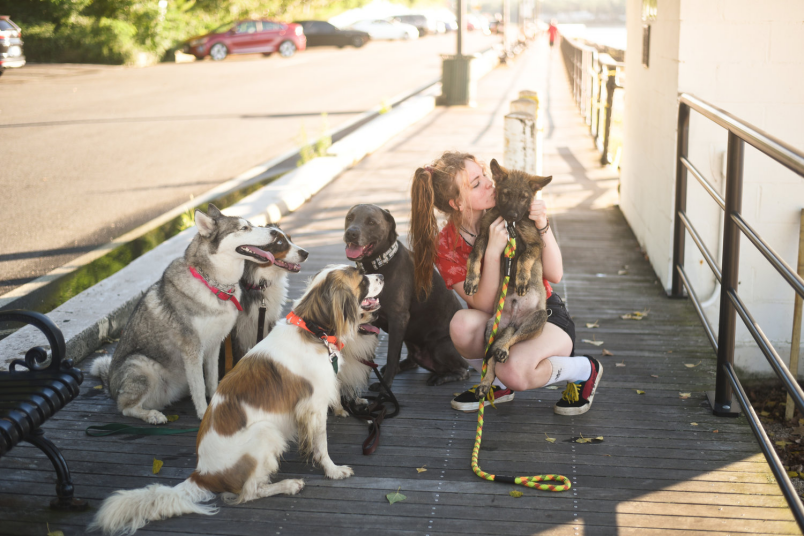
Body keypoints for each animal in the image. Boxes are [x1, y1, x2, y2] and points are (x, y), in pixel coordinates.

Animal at [90, 205, 278, 424]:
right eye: (243, 228)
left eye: (250, 224)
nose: (274, 232)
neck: (213, 285)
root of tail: (110, 386)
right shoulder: (192, 350)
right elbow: (199, 388)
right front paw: (204, 413)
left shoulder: (214, 345)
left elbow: (211, 380)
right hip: (141, 366)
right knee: (125, 408)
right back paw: (152, 415)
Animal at [90, 265, 384, 535]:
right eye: (361, 276)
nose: (381, 275)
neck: (313, 329)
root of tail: (202, 474)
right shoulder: (314, 407)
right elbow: (322, 445)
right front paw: (333, 471)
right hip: (266, 431)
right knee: (249, 492)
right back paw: (288, 485)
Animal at [344, 204, 469, 389]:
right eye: (349, 218)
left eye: (371, 222)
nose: (351, 233)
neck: (380, 264)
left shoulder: (398, 318)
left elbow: (391, 355)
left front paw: (384, 387)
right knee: (412, 360)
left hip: (439, 347)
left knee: (463, 370)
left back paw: (442, 377)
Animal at [463, 159, 553, 400]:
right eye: (505, 194)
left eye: (524, 197)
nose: (512, 214)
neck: (509, 225)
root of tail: (514, 320)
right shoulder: (483, 237)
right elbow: (474, 256)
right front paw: (472, 280)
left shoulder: (535, 245)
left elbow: (523, 258)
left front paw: (521, 280)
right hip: (490, 330)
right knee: (491, 360)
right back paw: (485, 382)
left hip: (538, 319)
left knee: (512, 341)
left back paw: (504, 350)